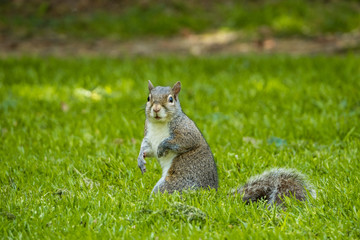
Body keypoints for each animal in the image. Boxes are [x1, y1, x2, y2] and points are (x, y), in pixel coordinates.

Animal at [138, 81, 316, 205]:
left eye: (170, 99)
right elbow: (147, 149)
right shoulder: (149, 136)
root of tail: (211, 196)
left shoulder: (186, 131)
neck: (159, 124)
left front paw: (163, 146)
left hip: (175, 184)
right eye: (148, 98)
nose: (155, 109)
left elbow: (183, 142)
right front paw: (141, 159)